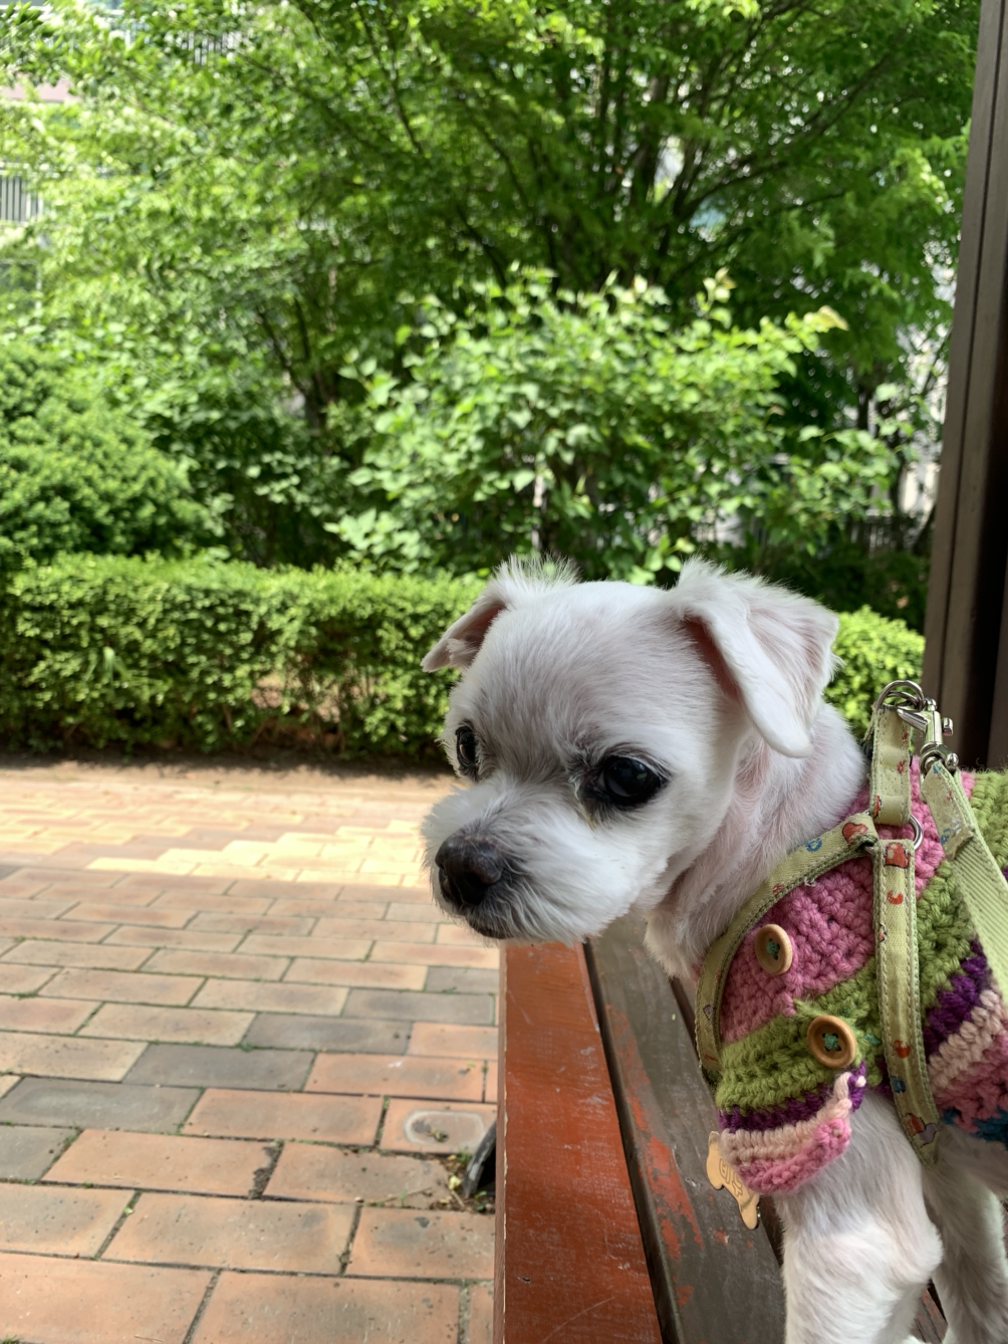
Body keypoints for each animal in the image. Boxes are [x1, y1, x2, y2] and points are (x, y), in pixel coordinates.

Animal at [420, 556, 1008, 1344]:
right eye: (466, 746)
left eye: (626, 776)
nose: (461, 866)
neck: (785, 848)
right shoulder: (942, 1157)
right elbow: (980, 1293)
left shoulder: (839, 1175)